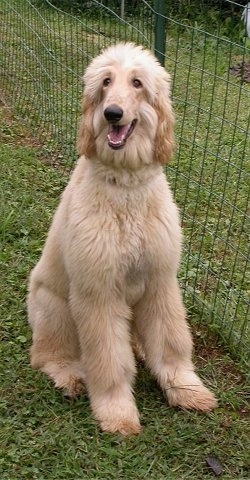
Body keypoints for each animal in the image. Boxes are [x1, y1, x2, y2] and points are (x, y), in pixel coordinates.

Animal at [26, 44, 215, 436]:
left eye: (137, 83)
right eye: (105, 82)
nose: (112, 114)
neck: (125, 186)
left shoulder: (159, 280)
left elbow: (171, 342)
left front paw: (186, 389)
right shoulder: (99, 291)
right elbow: (109, 360)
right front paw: (117, 412)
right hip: (54, 307)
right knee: (47, 355)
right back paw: (70, 376)